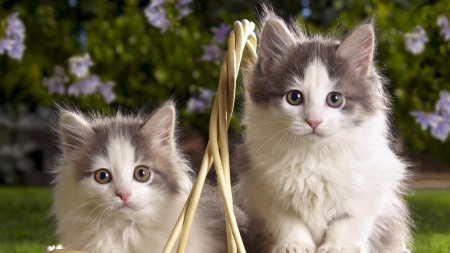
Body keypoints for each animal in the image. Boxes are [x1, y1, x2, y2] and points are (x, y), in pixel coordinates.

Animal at [237, 8, 414, 253]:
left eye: (335, 99)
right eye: (294, 97)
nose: (313, 121)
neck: (313, 156)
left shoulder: (370, 189)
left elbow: (349, 221)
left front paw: (338, 246)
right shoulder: (264, 189)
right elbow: (287, 221)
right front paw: (294, 245)